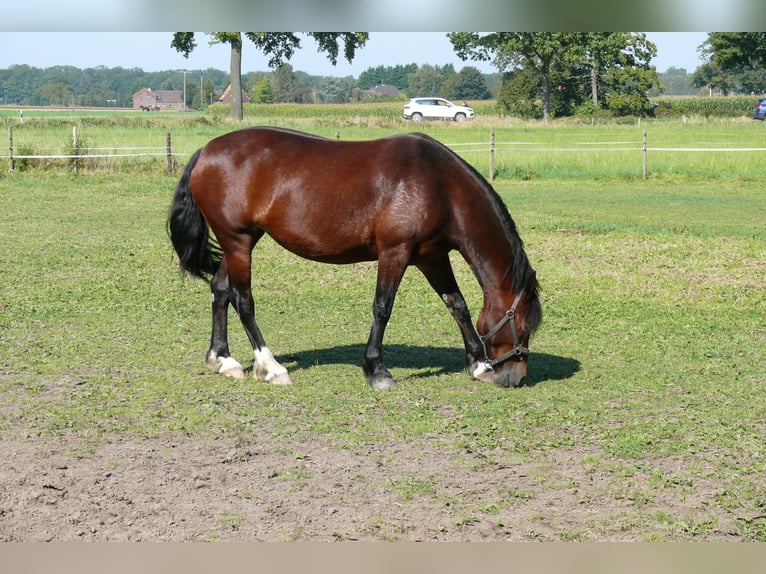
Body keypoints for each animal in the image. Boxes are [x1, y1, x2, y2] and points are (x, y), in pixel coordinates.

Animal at [168, 128, 544, 392]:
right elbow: (382, 308)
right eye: (525, 327)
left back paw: (223, 359)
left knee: (220, 289)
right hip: (238, 241)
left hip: (241, 241)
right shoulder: (395, 252)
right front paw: (376, 371)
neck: (440, 186)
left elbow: (458, 306)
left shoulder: (432, 256)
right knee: (243, 300)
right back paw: (271, 368)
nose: (516, 377)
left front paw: (477, 364)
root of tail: (205, 151)